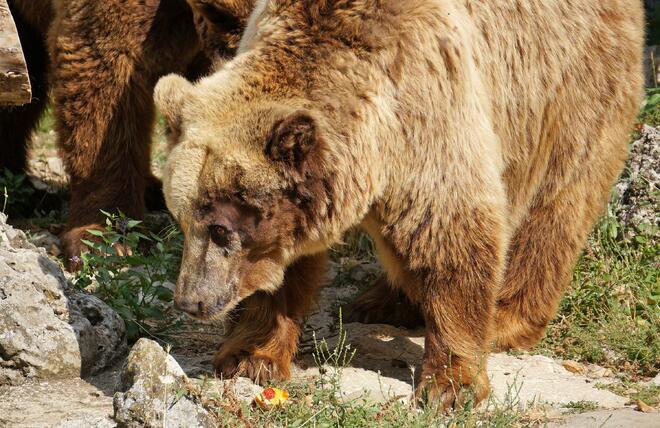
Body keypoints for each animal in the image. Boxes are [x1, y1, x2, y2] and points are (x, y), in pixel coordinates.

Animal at [156, 0, 644, 408]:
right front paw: (250, 356)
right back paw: (382, 302)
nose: (189, 301)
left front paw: (450, 385)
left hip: (565, 87)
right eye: (183, 220)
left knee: (555, 205)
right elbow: (286, 268)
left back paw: (506, 317)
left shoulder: (431, 105)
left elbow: (452, 234)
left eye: (220, 228)